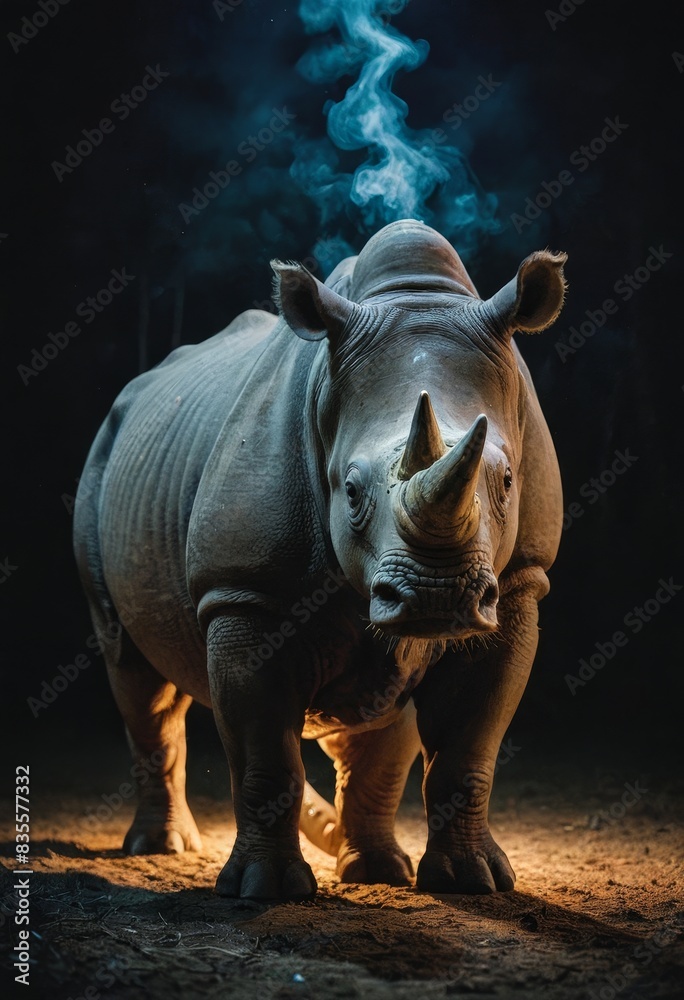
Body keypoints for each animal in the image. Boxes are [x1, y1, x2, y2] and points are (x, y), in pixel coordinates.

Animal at [73, 219, 566, 900]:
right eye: (350, 491)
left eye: (509, 482)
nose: (437, 594)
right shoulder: (245, 593)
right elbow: (265, 750)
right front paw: (266, 889)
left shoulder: (517, 582)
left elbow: (462, 746)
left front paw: (467, 882)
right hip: (104, 456)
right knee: (138, 677)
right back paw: (162, 847)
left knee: (375, 723)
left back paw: (378, 868)